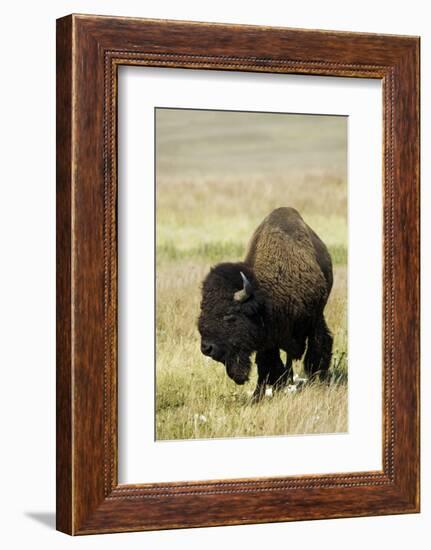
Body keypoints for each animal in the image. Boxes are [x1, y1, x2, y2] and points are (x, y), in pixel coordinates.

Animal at [198, 207, 334, 402]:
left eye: (229, 316)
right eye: (202, 310)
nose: (206, 348)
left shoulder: (314, 319)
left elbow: (317, 349)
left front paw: (316, 380)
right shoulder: (268, 338)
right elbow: (267, 366)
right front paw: (258, 396)